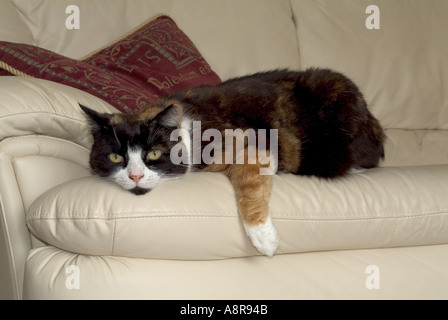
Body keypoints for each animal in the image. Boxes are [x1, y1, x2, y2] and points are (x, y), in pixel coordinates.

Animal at [79, 67, 384, 255]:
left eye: (153, 153)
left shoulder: (254, 145)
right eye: (116, 156)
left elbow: (248, 182)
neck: (188, 131)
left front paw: (263, 237)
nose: (135, 176)